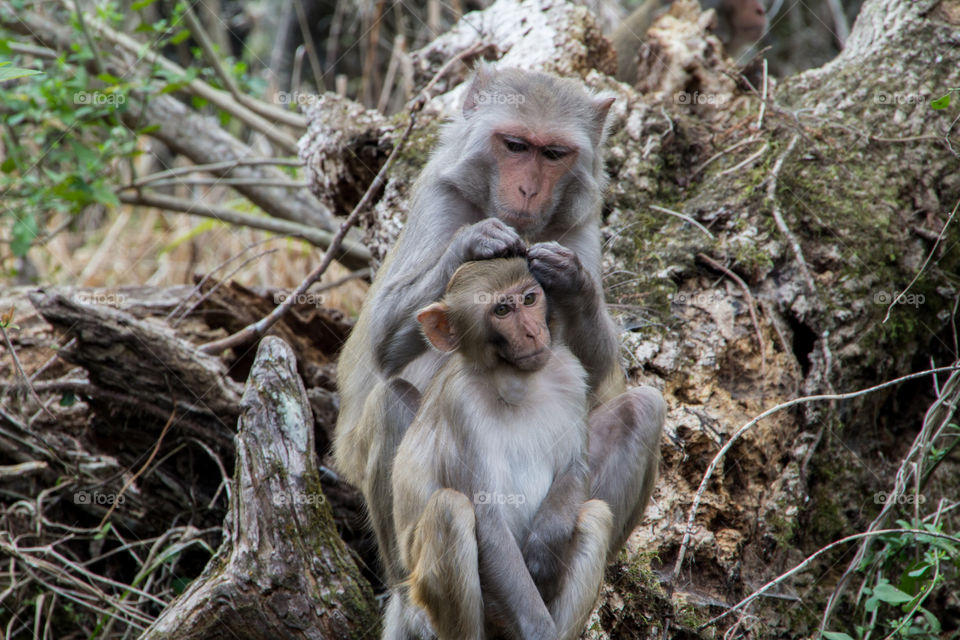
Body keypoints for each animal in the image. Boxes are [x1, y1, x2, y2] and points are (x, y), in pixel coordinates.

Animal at [390, 258, 612, 639]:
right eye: (502, 310)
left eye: (529, 299)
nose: (533, 333)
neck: (514, 380)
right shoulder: (461, 404)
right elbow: (488, 519)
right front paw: (540, 631)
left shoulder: (570, 374)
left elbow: (575, 468)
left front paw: (544, 545)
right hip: (428, 608)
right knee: (450, 509)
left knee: (595, 516)